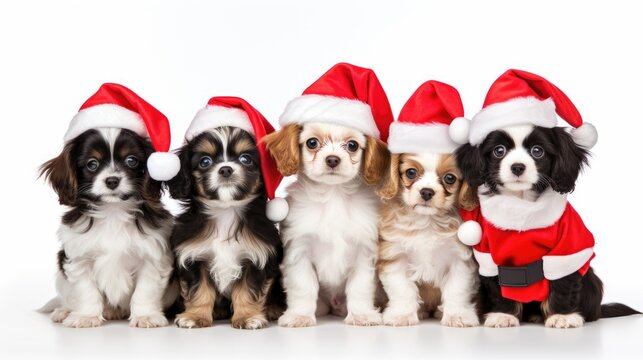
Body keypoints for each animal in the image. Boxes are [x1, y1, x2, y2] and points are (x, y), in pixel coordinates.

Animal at [41, 128, 176, 328]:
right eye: (92, 164)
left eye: (131, 160)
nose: (112, 180)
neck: (113, 211)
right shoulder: (79, 256)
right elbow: (85, 290)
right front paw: (86, 316)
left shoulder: (152, 256)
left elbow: (145, 290)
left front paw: (145, 315)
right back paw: (64, 311)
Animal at [169, 126, 284, 330]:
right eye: (205, 161)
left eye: (245, 159)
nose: (225, 169)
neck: (225, 211)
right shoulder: (193, 256)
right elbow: (199, 290)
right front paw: (196, 316)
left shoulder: (257, 257)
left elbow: (247, 290)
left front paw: (247, 317)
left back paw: (272, 309)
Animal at [264, 121, 390, 326]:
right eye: (312, 143)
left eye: (352, 145)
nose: (332, 159)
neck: (333, 195)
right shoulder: (299, 251)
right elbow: (303, 286)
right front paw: (299, 315)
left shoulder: (364, 253)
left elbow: (360, 287)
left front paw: (362, 314)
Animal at [380, 153, 480, 328]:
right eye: (411, 173)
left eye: (450, 178)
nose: (426, 192)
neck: (428, 221)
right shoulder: (395, 255)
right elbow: (401, 288)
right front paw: (402, 315)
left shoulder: (460, 258)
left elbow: (457, 288)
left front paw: (458, 315)